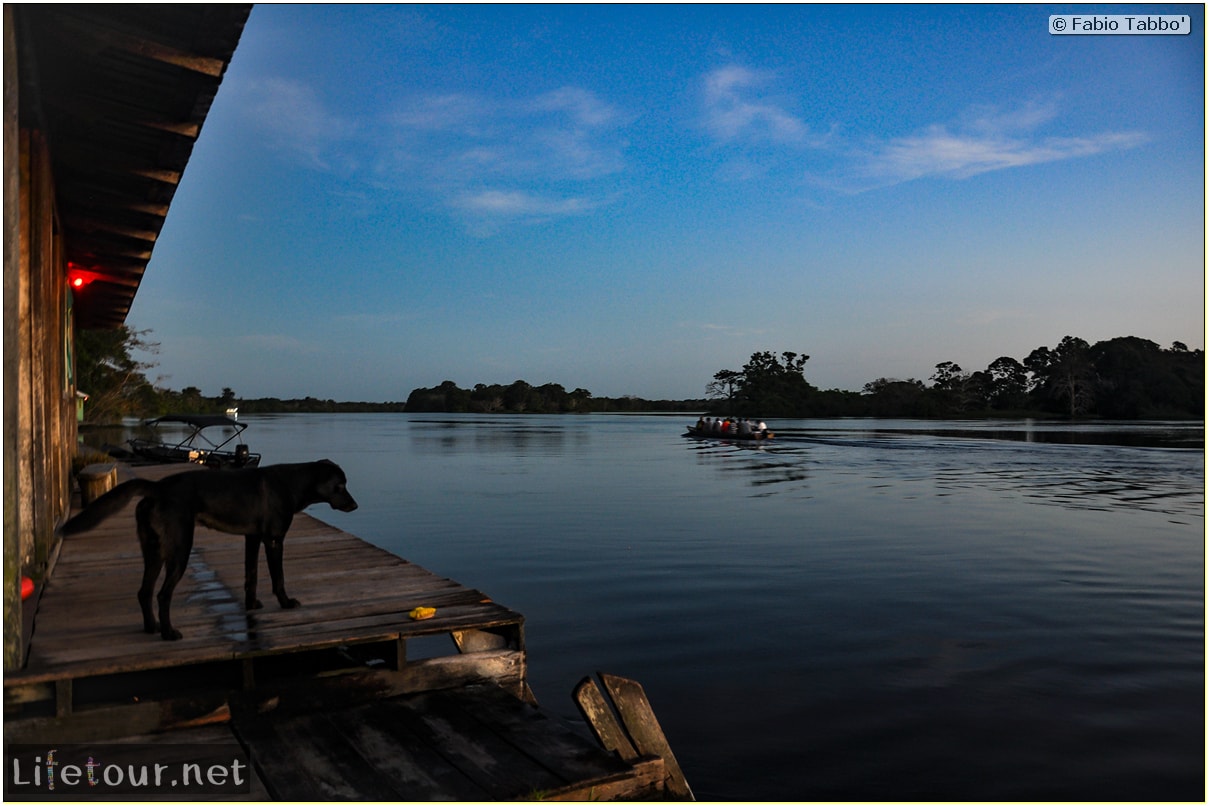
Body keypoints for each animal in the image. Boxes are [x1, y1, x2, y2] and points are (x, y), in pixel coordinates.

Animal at [59, 464, 355, 638]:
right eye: (340, 485)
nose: (355, 506)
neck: (292, 482)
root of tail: (158, 487)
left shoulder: (252, 539)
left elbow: (251, 577)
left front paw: (251, 605)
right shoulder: (273, 540)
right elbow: (278, 578)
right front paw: (286, 603)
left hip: (154, 551)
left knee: (144, 592)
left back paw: (152, 628)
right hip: (179, 550)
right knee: (163, 594)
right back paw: (169, 632)